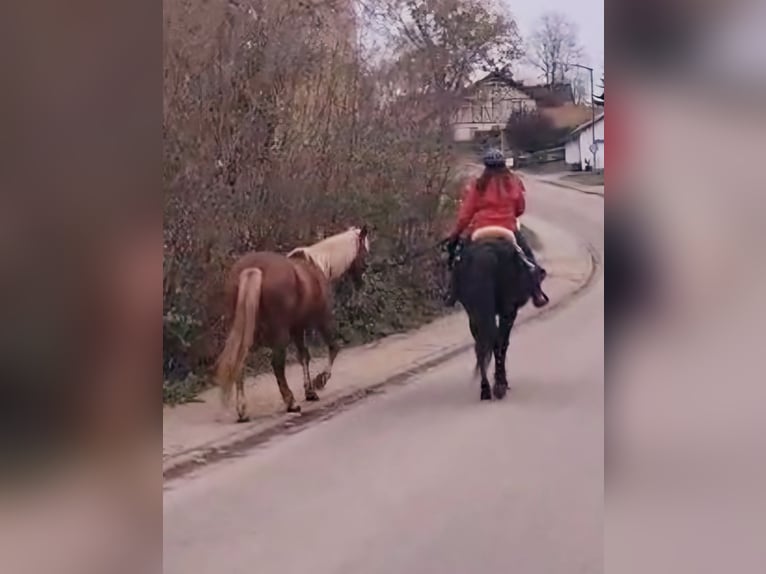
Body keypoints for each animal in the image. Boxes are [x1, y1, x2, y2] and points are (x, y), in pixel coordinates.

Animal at [216, 226, 372, 424]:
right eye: (364, 250)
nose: (362, 280)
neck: (319, 265)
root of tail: (253, 270)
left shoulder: (298, 327)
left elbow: (304, 356)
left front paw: (310, 391)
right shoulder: (321, 320)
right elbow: (333, 348)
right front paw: (319, 381)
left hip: (245, 330)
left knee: (240, 362)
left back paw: (243, 410)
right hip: (279, 333)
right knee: (277, 365)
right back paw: (291, 403)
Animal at [456, 230, 540, 400]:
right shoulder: (510, 311)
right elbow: (504, 343)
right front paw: (502, 382)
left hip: (475, 313)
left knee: (482, 345)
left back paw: (486, 389)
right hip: (506, 309)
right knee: (498, 342)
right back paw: (499, 385)